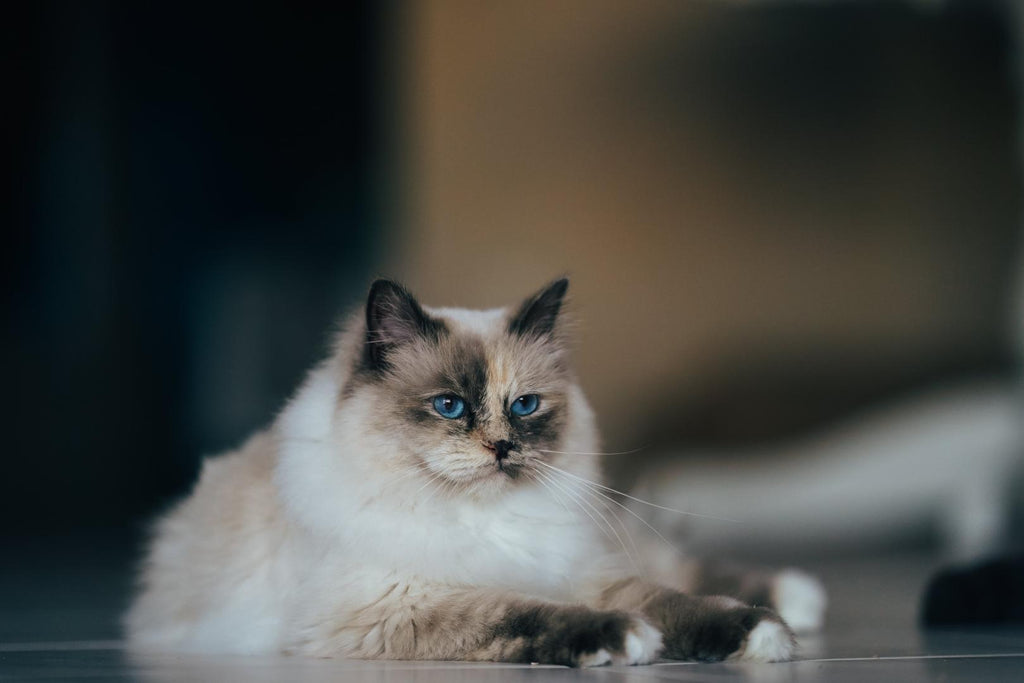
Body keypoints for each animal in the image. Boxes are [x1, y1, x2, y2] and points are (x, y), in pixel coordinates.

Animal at [123, 278, 819, 667]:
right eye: (450, 406)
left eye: (525, 406)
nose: (502, 448)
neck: (482, 520)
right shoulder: (399, 604)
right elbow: (523, 613)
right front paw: (623, 641)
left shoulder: (580, 572)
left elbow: (674, 603)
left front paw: (759, 634)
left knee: (683, 568)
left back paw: (795, 600)